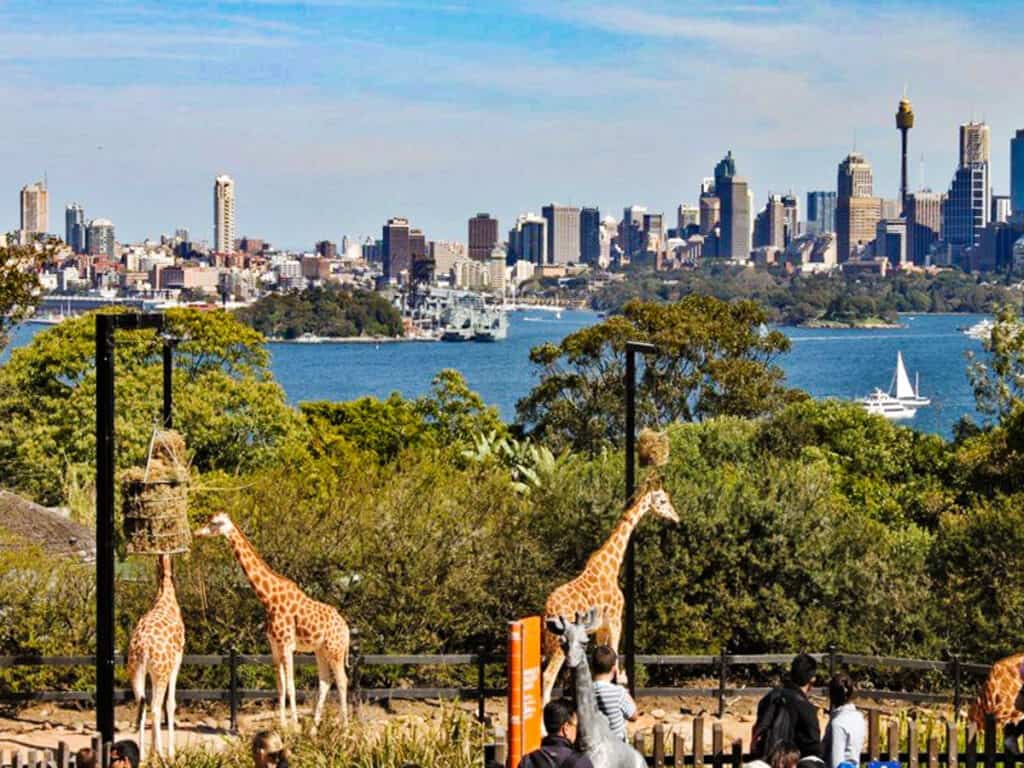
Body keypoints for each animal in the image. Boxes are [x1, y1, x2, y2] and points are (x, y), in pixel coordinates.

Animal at [126, 552, 185, 765]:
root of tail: (143, 649)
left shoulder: (151, 672)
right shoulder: (177, 661)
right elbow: (171, 704)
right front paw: (171, 753)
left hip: (135, 672)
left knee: (142, 705)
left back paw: (143, 755)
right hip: (161, 672)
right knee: (155, 707)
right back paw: (160, 755)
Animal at [195, 514, 352, 729]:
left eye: (215, 523)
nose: (197, 533)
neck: (268, 599)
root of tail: (347, 629)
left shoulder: (287, 645)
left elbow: (292, 686)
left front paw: (294, 725)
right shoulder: (274, 646)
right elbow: (280, 685)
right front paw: (283, 724)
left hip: (335, 650)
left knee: (342, 680)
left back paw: (344, 727)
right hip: (320, 650)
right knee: (325, 681)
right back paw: (313, 727)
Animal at [536, 489, 679, 708]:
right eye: (662, 501)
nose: (676, 518)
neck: (611, 568)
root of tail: (548, 609)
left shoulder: (600, 627)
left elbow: (601, 657)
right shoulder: (615, 618)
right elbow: (614, 651)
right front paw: (620, 682)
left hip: (549, 641)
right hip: (561, 641)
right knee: (548, 676)